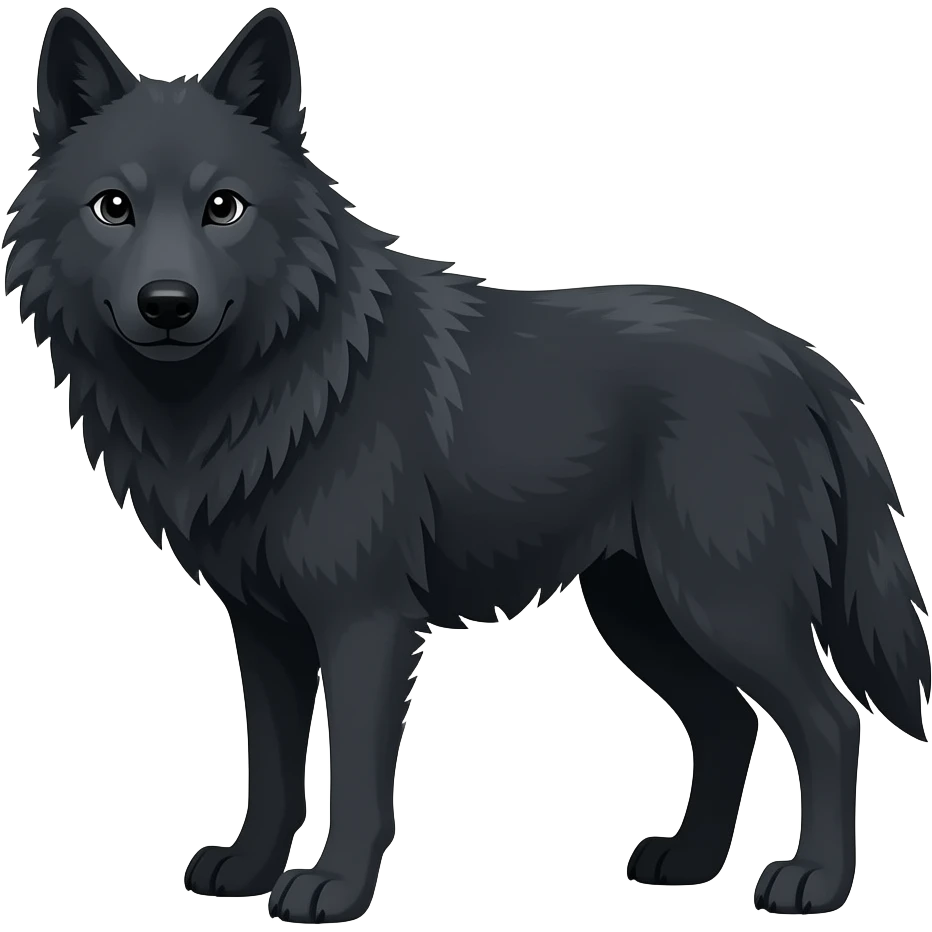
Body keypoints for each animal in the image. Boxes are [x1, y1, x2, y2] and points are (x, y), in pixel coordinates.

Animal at [4, 6, 929, 924]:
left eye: (223, 208)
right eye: (113, 207)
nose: (168, 304)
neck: (277, 382)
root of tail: (798, 356)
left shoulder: (364, 621)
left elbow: (359, 776)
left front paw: (333, 888)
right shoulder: (263, 630)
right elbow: (269, 768)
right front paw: (247, 869)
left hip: (722, 606)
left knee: (828, 721)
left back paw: (814, 882)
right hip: (643, 612)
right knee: (729, 724)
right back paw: (690, 862)